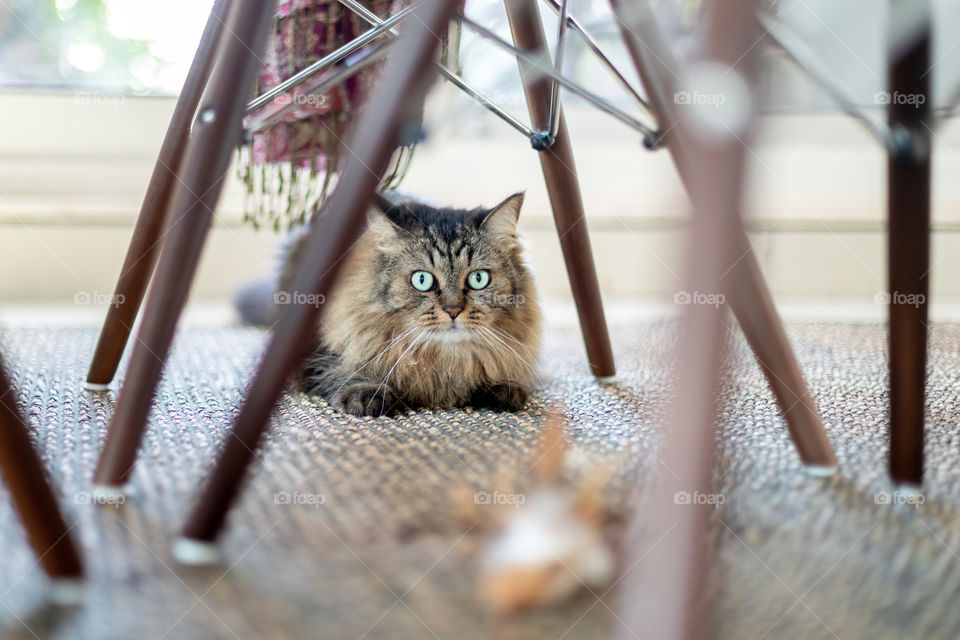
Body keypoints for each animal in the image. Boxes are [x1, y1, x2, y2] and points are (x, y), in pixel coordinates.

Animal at [278, 192, 544, 418]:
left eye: (478, 279)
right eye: (422, 280)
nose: (453, 310)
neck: (445, 363)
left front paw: (502, 389)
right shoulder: (317, 352)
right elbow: (342, 369)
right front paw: (367, 393)